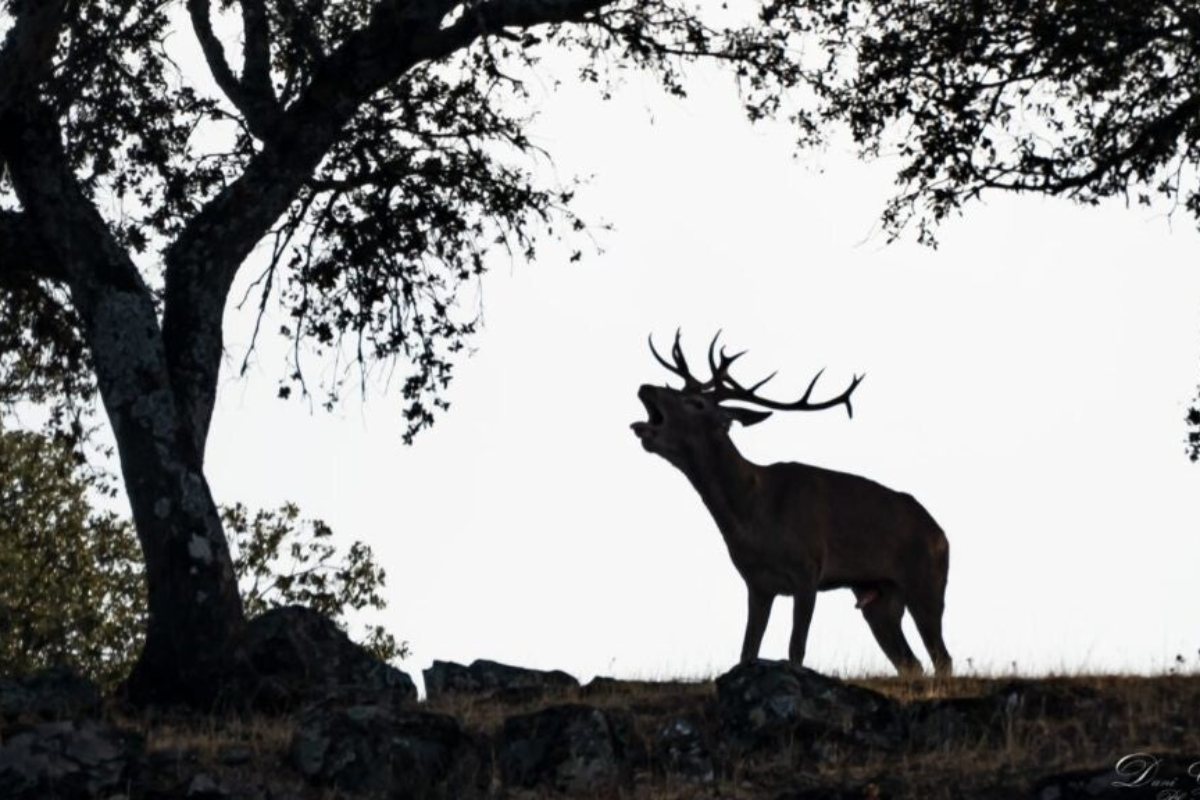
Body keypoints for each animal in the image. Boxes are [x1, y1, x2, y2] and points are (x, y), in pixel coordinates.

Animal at [631, 331, 952, 677]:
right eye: (679, 391)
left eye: (696, 403)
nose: (646, 387)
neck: (753, 516)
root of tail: (941, 534)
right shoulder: (756, 583)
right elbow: (747, 651)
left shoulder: (808, 570)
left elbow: (795, 650)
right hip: (879, 597)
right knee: (911, 663)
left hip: (926, 581)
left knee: (941, 658)